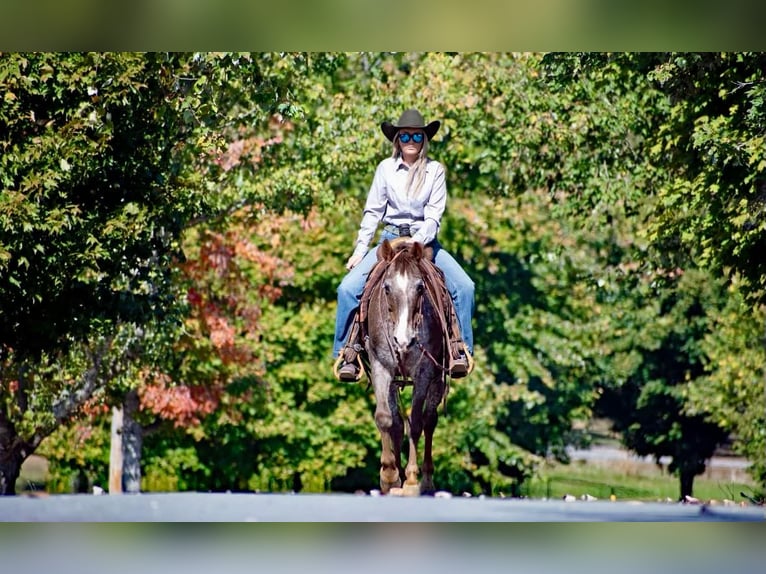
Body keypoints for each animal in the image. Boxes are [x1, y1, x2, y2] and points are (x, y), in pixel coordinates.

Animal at [361, 238, 450, 496]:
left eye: (420, 287)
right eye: (387, 288)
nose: (403, 340)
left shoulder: (424, 373)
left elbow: (417, 423)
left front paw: (410, 478)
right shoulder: (381, 367)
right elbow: (386, 418)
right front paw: (390, 475)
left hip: (437, 380)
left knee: (429, 420)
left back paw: (426, 481)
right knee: (398, 423)